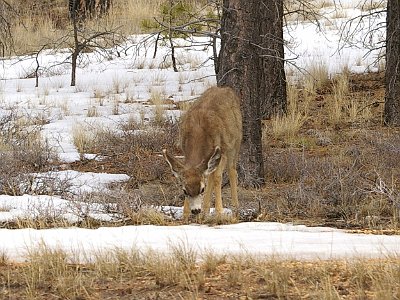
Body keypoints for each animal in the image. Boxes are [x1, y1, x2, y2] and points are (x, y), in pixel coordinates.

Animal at [163, 85, 244, 219]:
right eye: (184, 191)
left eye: (202, 189)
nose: (196, 210)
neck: (198, 133)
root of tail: (226, 89)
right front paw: (185, 214)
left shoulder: (222, 151)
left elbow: (217, 177)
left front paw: (219, 211)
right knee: (210, 173)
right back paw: (205, 210)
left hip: (235, 143)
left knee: (232, 171)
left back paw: (235, 207)